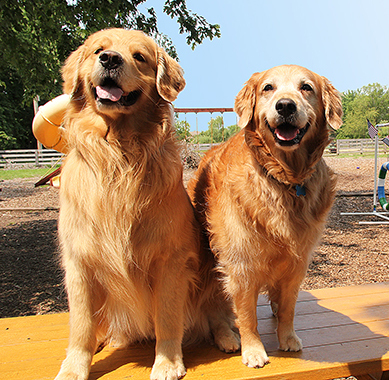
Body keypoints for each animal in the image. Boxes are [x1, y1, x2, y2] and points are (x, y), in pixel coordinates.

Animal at [55, 29, 238, 380]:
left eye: (139, 57)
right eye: (98, 50)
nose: (110, 59)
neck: (119, 154)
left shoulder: (171, 260)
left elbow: (167, 317)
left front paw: (167, 362)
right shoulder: (79, 262)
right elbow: (81, 325)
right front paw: (73, 368)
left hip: (213, 269)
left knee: (218, 313)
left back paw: (228, 338)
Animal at [186, 65, 342, 368]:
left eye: (306, 87)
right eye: (268, 88)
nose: (285, 106)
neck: (284, 180)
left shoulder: (297, 262)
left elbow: (289, 308)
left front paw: (288, 337)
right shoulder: (241, 265)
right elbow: (246, 315)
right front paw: (254, 350)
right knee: (213, 310)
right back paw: (227, 338)